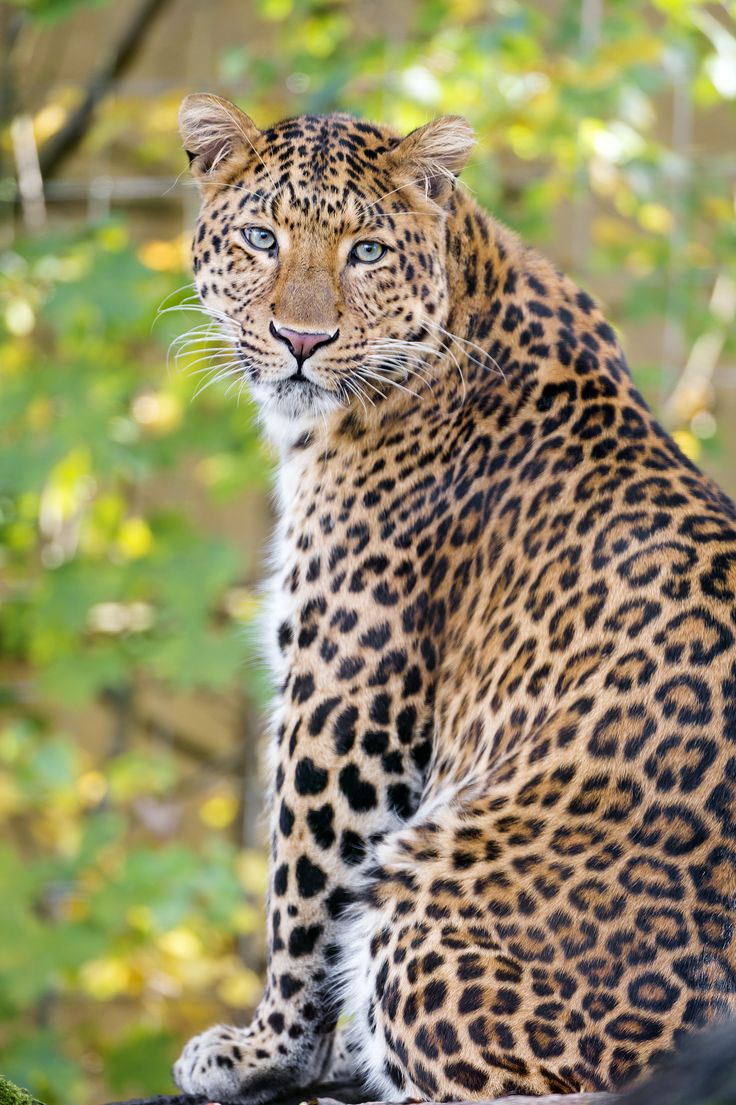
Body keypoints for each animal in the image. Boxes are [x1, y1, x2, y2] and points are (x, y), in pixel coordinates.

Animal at [170, 95, 733, 1105]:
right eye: (261, 238)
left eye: (366, 251)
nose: (301, 342)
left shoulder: (347, 692)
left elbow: (303, 892)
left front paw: (265, 1052)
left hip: (426, 884)